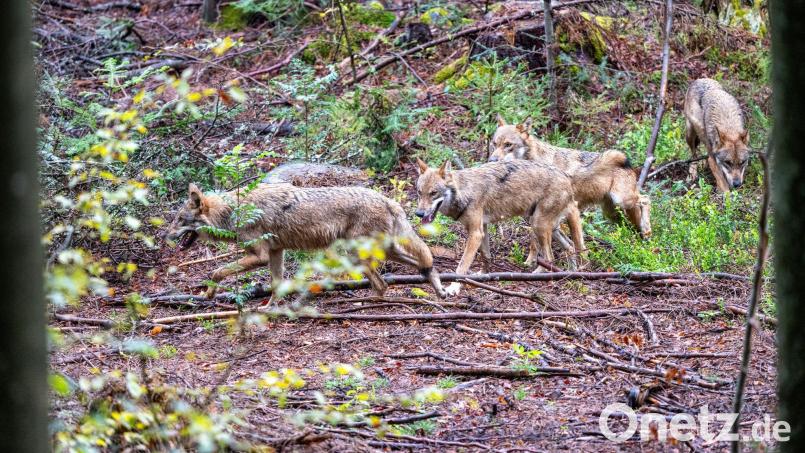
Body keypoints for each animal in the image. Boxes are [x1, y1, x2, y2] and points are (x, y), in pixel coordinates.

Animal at [165, 183, 447, 301]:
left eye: (179, 220)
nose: (164, 236)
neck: (233, 211)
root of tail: (388, 200)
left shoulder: (260, 256)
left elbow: (216, 271)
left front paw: (209, 292)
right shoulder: (276, 253)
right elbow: (276, 287)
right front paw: (270, 310)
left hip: (358, 255)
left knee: (382, 285)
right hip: (385, 251)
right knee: (425, 263)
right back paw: (440, 291)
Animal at [415, 158, 584, 296]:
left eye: (433, 193)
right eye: (419, 192)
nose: (419, 213)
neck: (464, 191)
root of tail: (567, 179)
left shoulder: (475, 233)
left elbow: (461, 266)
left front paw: (454, 288)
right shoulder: (482, 229)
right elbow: (486, 256)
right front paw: (483, 275)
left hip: (538, 225)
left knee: (550, 258)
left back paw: (537, 275)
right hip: (545, 226)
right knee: (570, 246)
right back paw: (571, 274)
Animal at [488, 116, 652, 239]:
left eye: (508, 145)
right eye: (494, 144)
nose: (491, 160)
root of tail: (629, 166)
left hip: (622, 200)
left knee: (646, 199)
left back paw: (647, 230)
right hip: (612, 213)